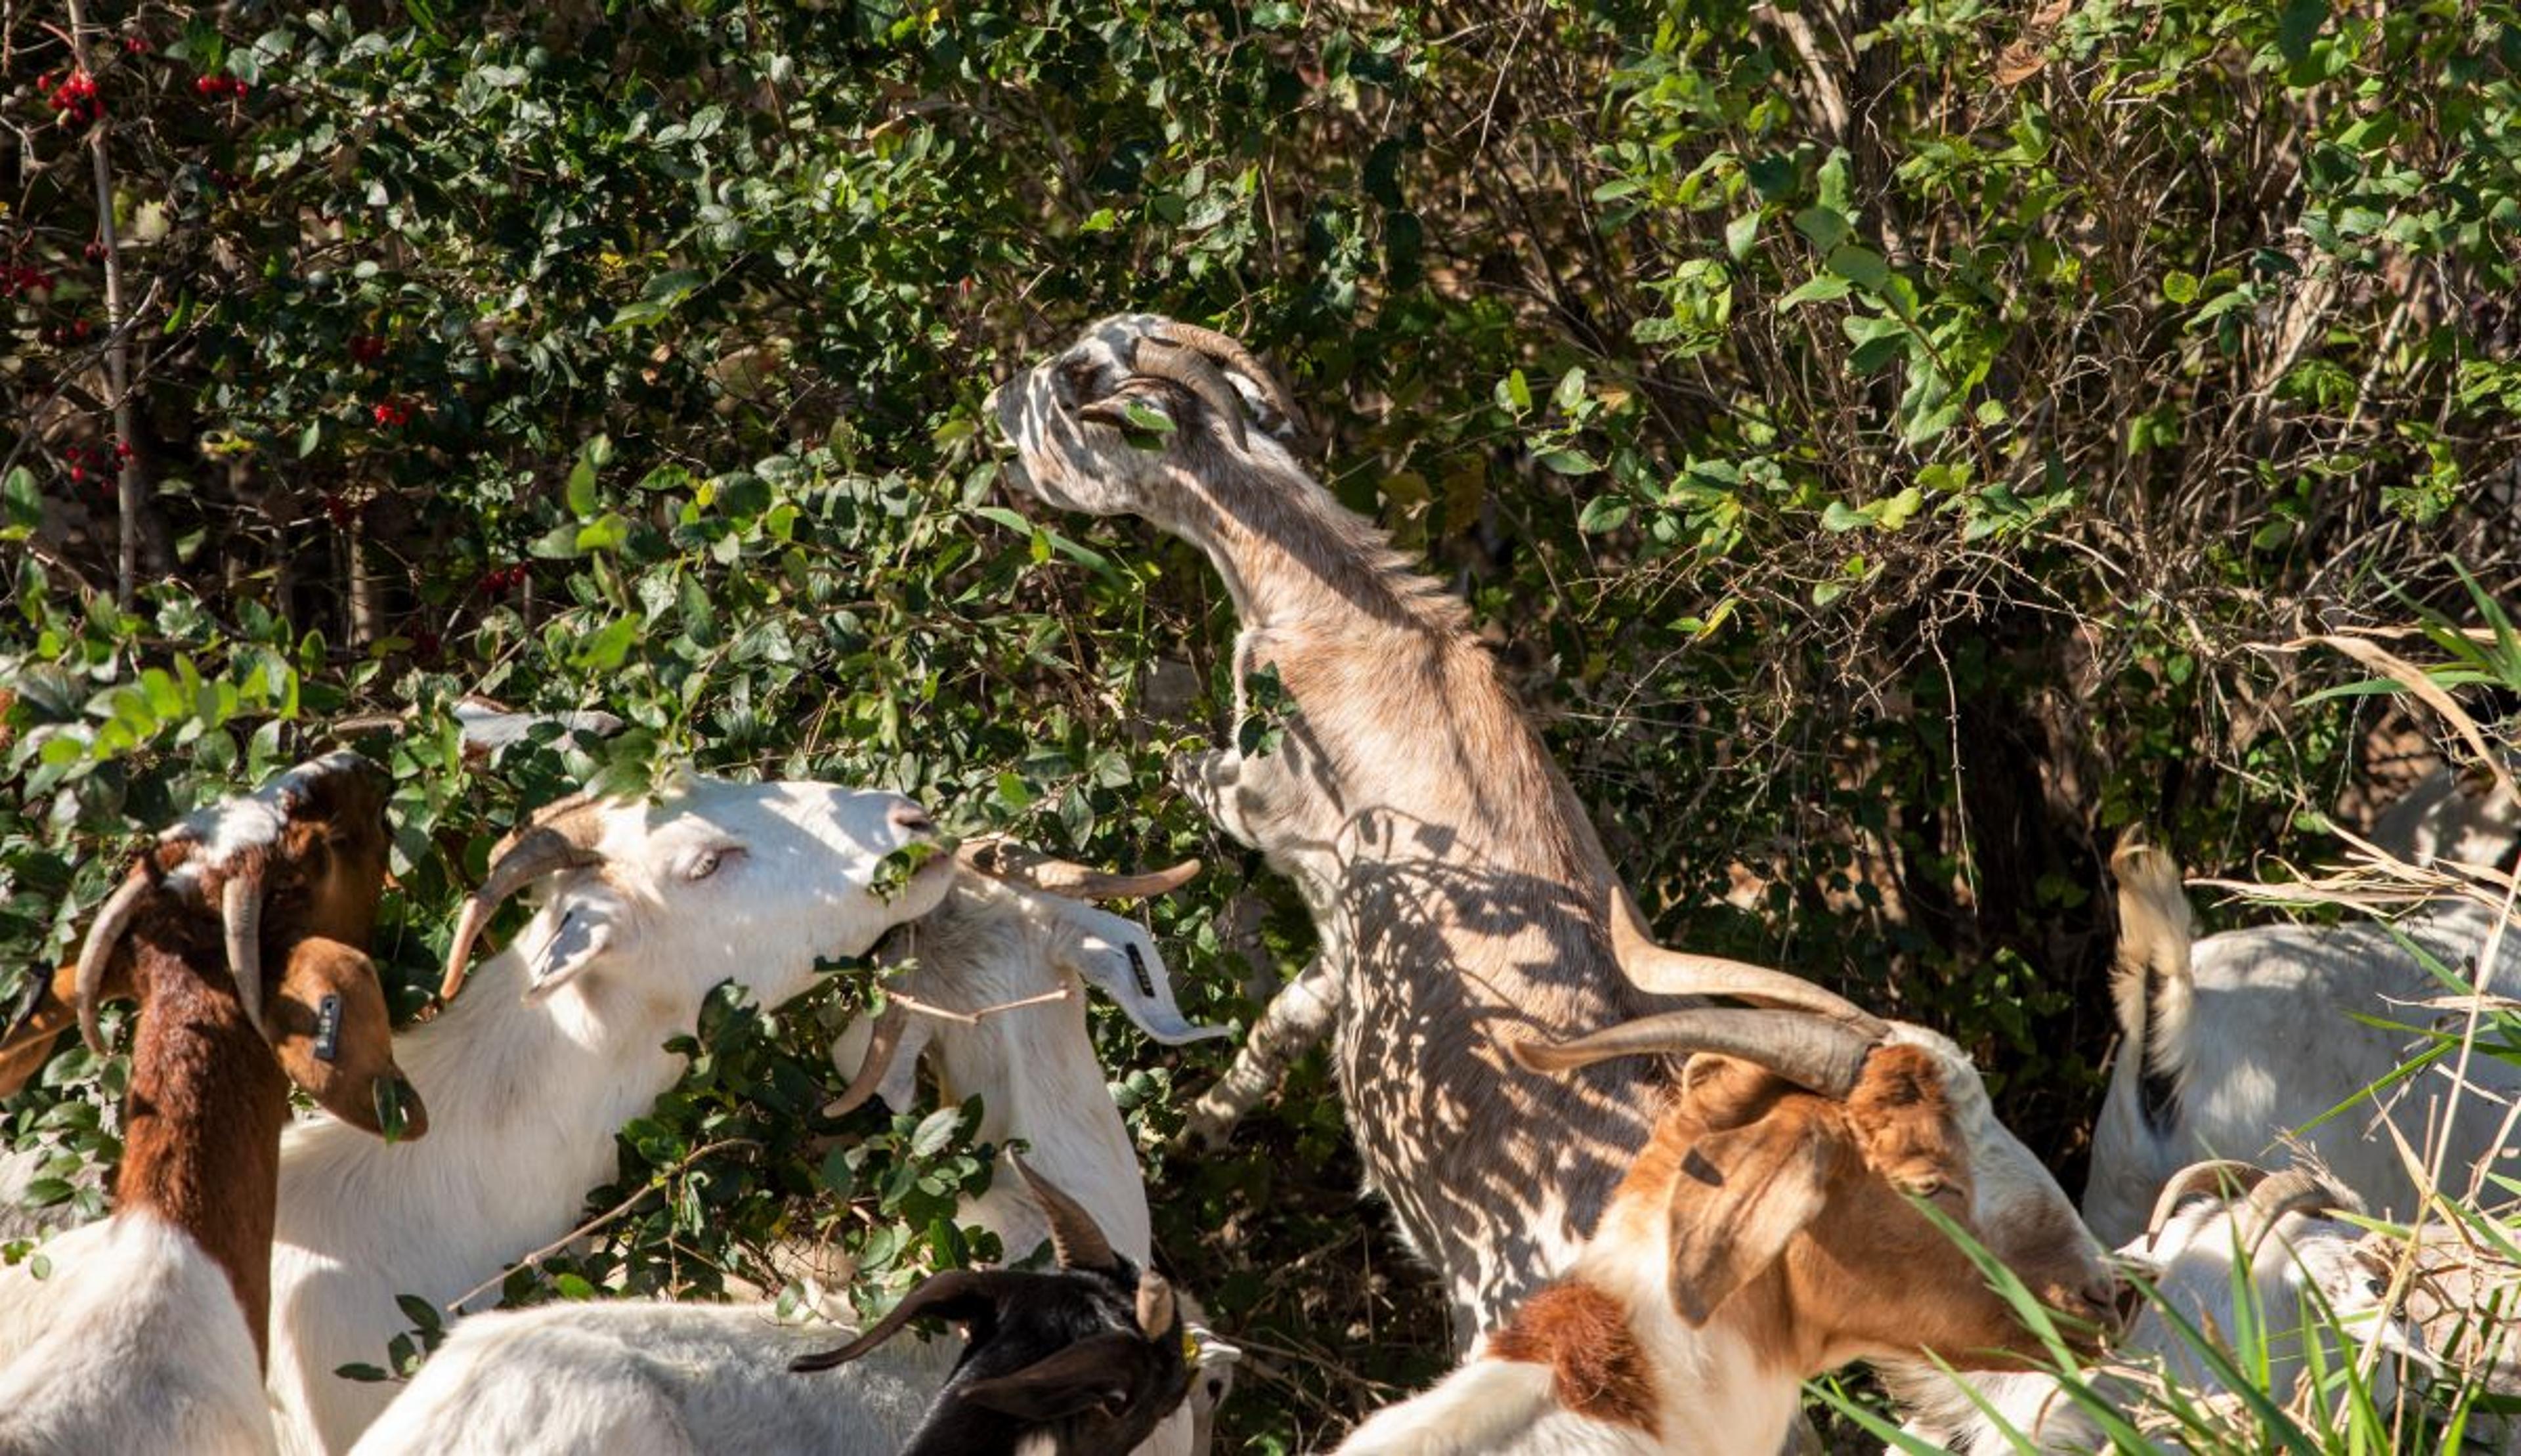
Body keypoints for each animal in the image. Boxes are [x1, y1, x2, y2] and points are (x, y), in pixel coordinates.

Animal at [996, 313, 1733, 1345]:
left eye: (1074, 378)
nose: (998, 400)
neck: (1351, 621)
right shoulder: (1342, 938)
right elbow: (1283, 1022)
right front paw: (1195, 1130)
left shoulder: (1258, 792)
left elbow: (1184, 767)